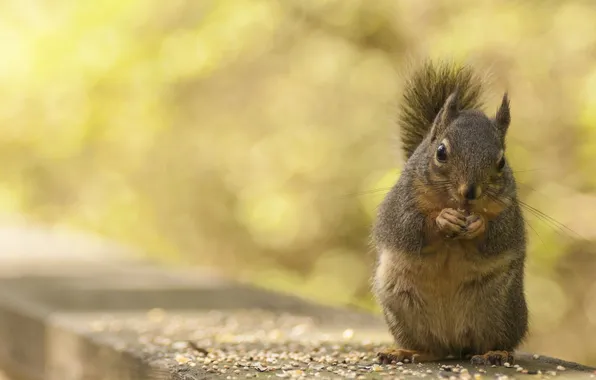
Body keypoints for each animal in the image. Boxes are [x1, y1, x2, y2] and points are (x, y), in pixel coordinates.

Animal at [370, 60, 528, 366]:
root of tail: (455, 345)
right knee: (433, 350)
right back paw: (406, 352)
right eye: (441, 152)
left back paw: (495, 353)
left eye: (501, 161)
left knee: (494, 341)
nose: (470, 192)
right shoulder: (399, 205)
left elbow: (498, 235)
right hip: (402, 306)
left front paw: (478, 224)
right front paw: (443, 219)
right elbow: (408, 227)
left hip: (501, 307)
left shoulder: (510, 214)